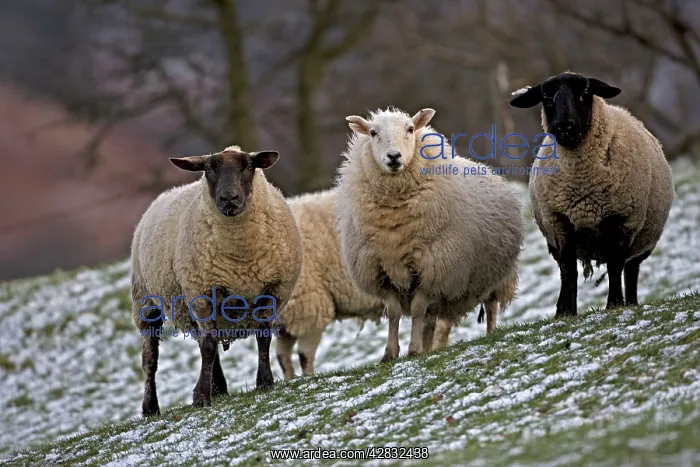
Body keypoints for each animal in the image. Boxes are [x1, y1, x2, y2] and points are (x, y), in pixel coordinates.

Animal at [131, 145, 303, 416]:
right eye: (208, 169)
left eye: (248, 166)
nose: (228, 199)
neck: (241, 257)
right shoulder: (202, 293)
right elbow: (209, 346)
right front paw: (202, 397)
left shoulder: (272, 289)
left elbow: (263, 337)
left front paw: (265, 382)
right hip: (146, 302)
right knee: (151, 358)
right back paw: (150, 407)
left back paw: (219, 388)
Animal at [276, 188, 456, 379]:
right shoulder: (285, 324)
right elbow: (282, 358)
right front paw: (289, 380)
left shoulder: (309, 310)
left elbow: (304, 356)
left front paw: (308, 378)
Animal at [335, 107, 524, 362]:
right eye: (373, 132)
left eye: (410, 129)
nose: (393, 156)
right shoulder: (383, 272)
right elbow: (394, 313)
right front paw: (390, 354)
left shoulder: (432, 268)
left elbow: (416, 309)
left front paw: (413, 350)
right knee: (430, 321)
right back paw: (428, 347)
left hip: (495, 276)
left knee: (491, 307)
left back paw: (490, 333)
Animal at [509, 71, 674, 315]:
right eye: (545, 97)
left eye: (585, 91)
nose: (564, 127)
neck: (581, 182)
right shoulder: (559, 222)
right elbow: (568, 270)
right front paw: (565, 311)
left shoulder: (622, 220)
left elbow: (615, 265)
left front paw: (614, 303)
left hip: (643, 239)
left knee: (631, 270)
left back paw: (631, 302)